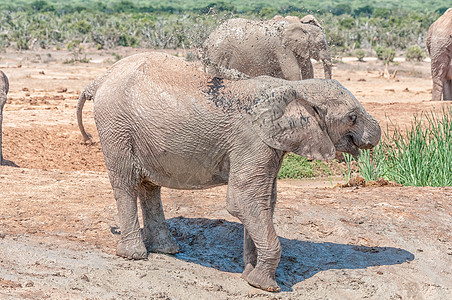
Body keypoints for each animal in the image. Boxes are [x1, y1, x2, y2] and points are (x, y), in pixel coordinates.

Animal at [78, 51, 382, 290]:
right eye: (352, 117)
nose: (376, 133)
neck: (295, 88)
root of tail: (100, 78)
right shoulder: (253, 140)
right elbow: (244, 200)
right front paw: (265, 286)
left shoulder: (268, 145)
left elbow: (263, 203)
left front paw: (249, 274)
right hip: (115, 125)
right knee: (126, 184)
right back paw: (135, 255)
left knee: (150, 186)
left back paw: (167, 250)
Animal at [201, 16, 332, 81]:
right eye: (320, 43)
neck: (301, 26)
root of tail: (207, 40)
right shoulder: (282, 48)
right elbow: (292, 73)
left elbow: (307, 71)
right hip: (218, 52)